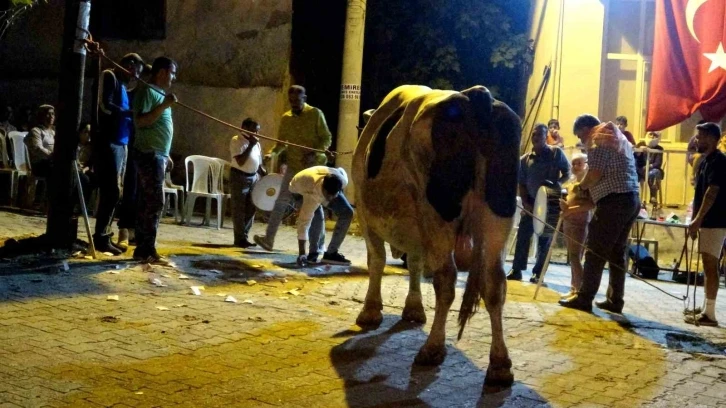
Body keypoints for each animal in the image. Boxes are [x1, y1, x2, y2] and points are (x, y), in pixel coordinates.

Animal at [354, 84, 520, 388]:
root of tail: (477, 95)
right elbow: (415, 263)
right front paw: (414, 309)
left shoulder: (363, 210)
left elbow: (377, 259)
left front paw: (371, 311)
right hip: (498, 214)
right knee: (494, 284)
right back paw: (500, 366)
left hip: (438, 214)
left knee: (446, 280)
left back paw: (432, 348)